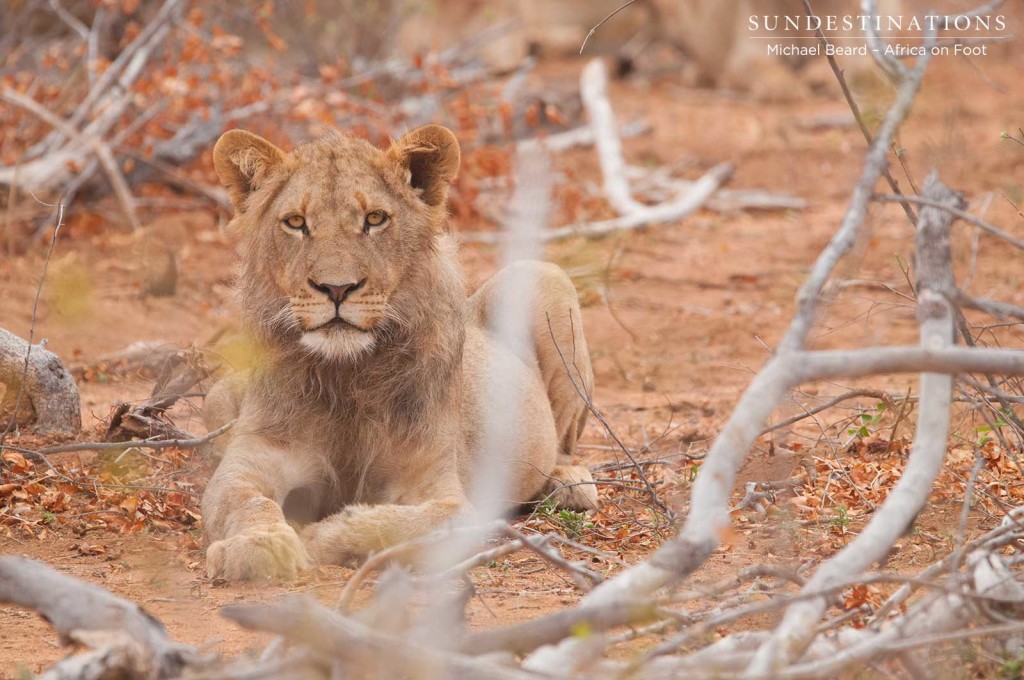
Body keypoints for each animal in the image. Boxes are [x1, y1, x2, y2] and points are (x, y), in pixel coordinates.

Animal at [201, 123, 598, 577]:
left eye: (375, 219)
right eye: (295, 222)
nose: (336, 288)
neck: (347, 373)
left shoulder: (447, 493)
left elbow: (408, 524)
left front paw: (323, 535)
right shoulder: (249, 462)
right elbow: (243, 501)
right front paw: (258, 544)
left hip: (546, 276)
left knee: (564, 446)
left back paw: (570, 483)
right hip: (217, 397)